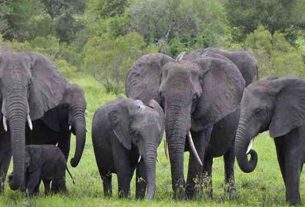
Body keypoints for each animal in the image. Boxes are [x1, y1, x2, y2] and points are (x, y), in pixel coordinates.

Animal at [124, 53, 243, 199]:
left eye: (195, 98)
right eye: (161, 95)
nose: (179, 196)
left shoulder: (206, 109)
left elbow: (198, 145)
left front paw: (190, 198)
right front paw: (183, 197)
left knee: (229, 156)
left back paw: (229, 197)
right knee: (207, 159)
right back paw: (207, 196)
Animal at [234, 77, 304, 205]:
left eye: (258, 111)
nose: (249, 152)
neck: (276, 84)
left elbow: (293, 156)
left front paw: (294, 204)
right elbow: (282, 157)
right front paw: (289, 202)